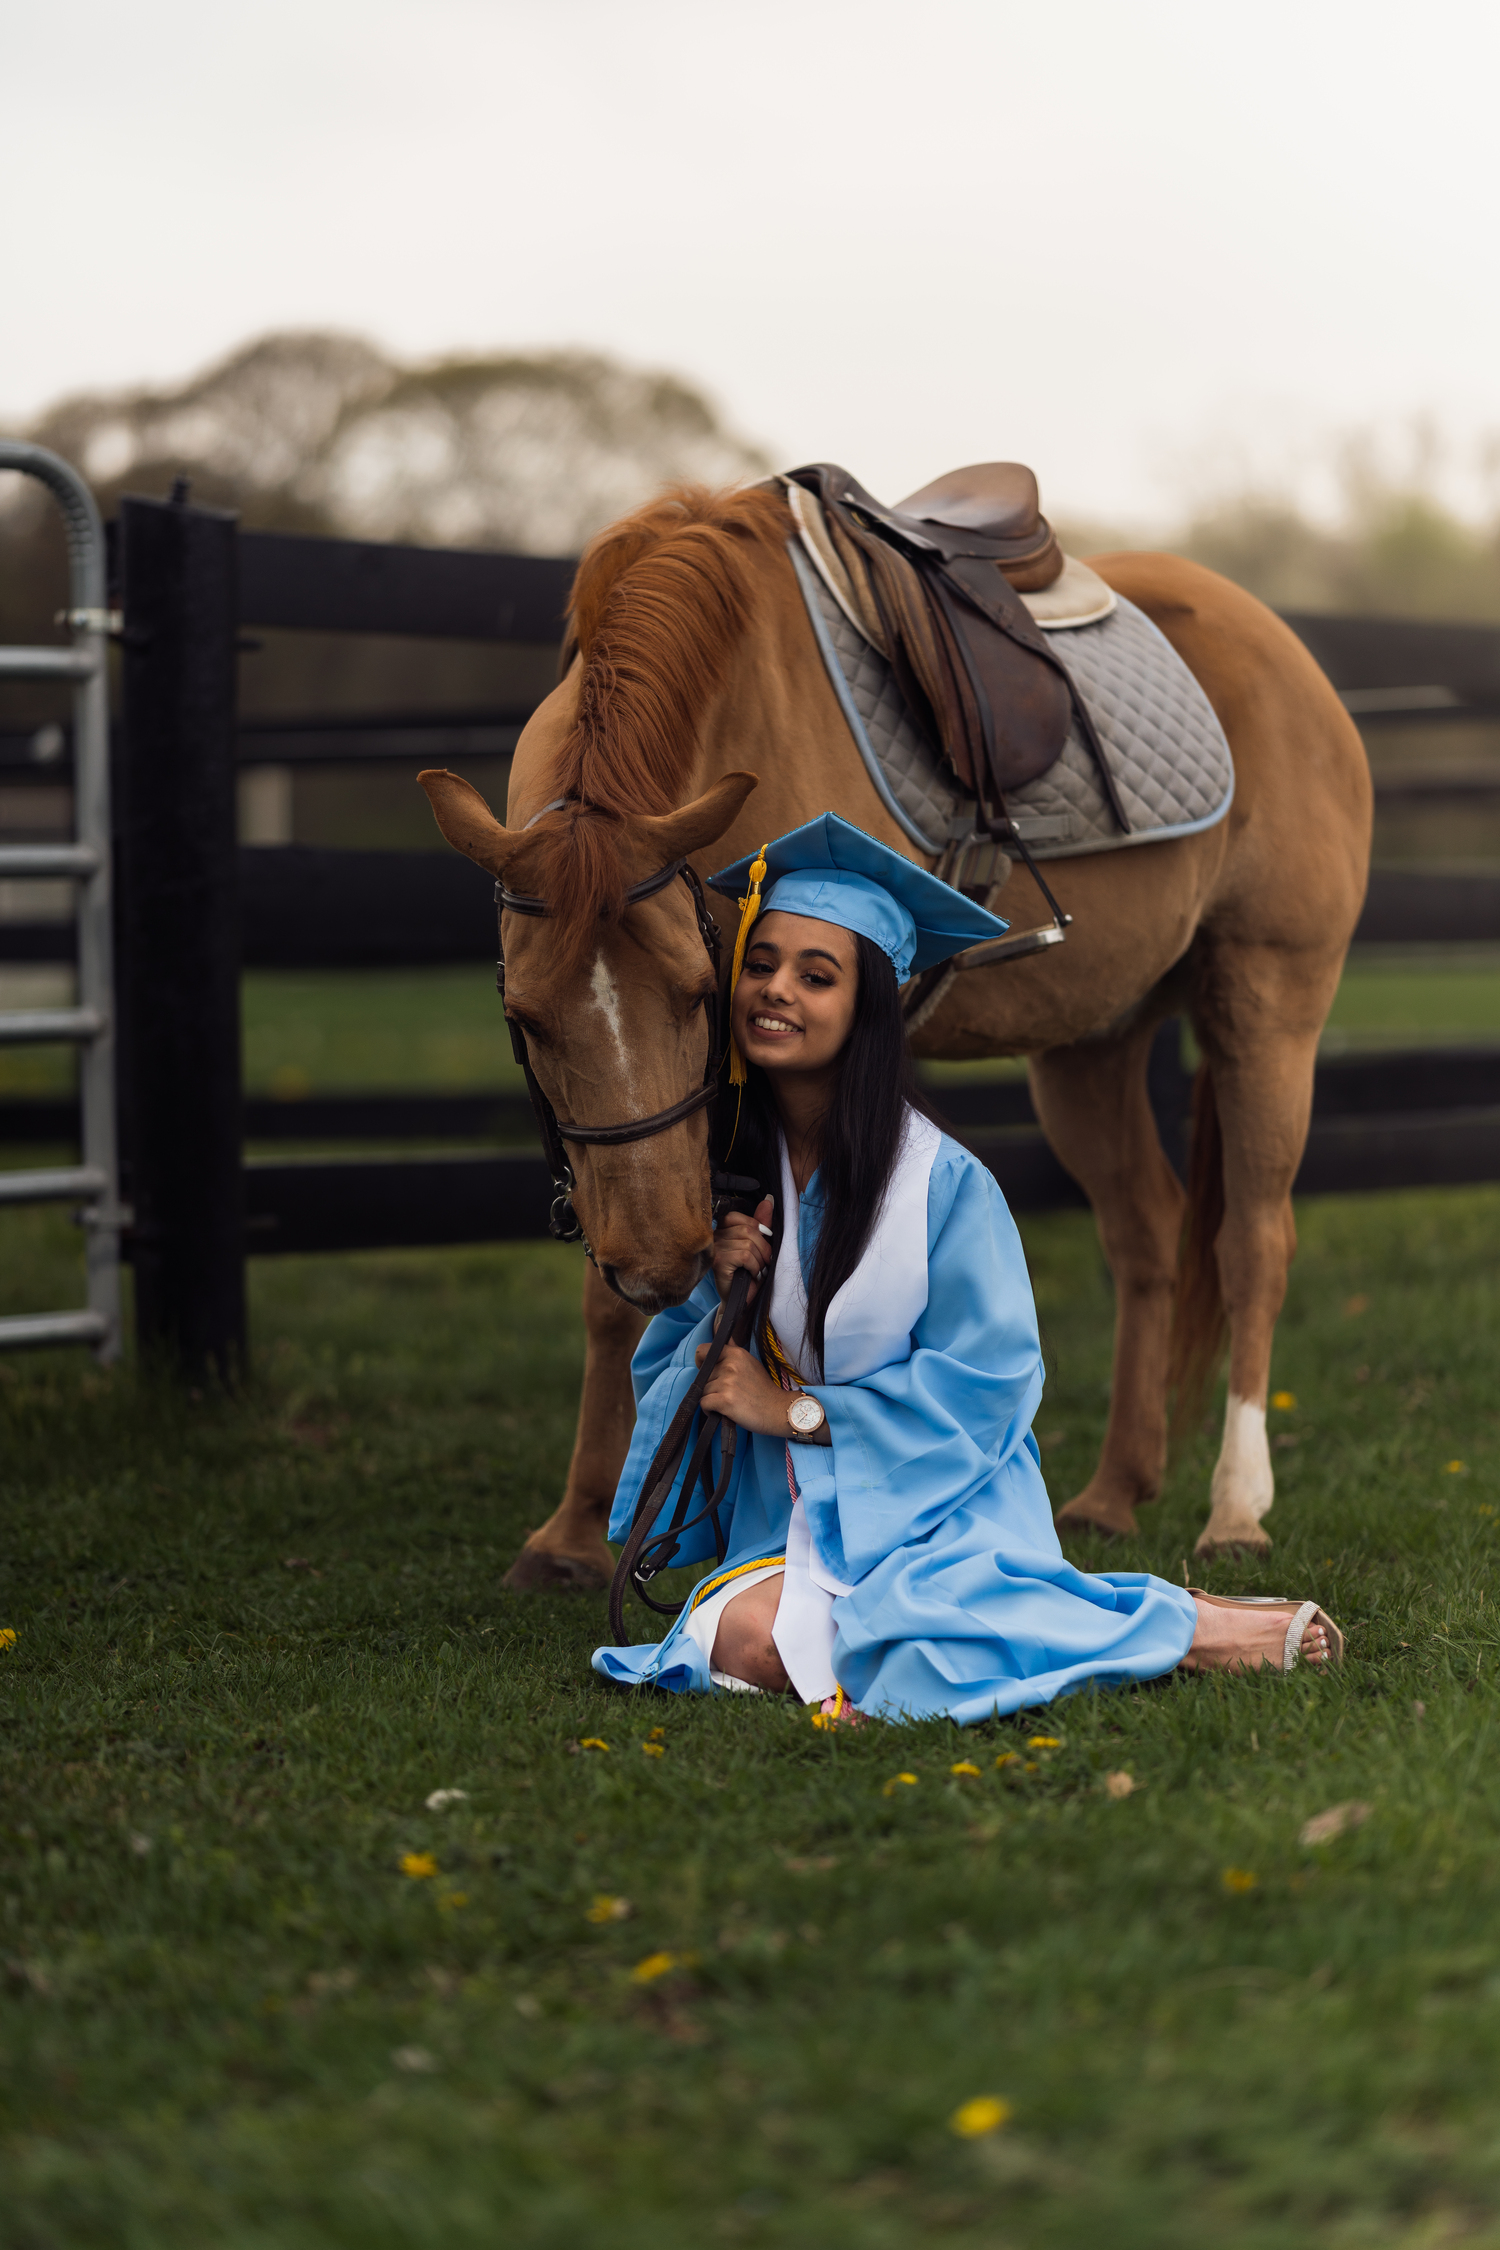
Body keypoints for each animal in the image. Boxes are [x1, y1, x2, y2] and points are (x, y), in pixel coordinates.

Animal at [420, 483, 1376, 1584]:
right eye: (525, 1020)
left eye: (701, 994)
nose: (660, 1260)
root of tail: (1280, 645)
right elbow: (615, 1303)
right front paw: (573, 1533)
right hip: (1091, 1044)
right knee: (1147, 1233)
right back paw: (1113, 1491)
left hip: (1268, 1001)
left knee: (1251, 1240)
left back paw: (1236, 1507)